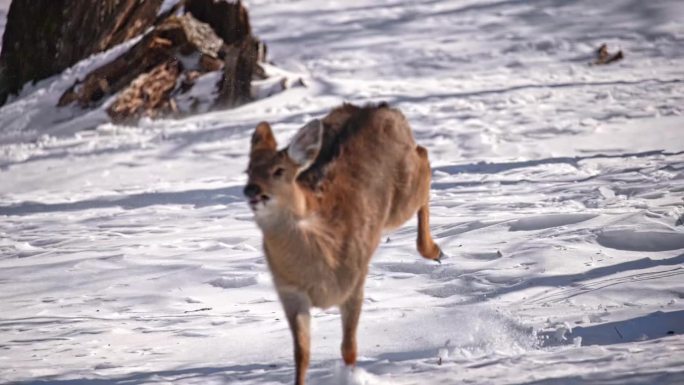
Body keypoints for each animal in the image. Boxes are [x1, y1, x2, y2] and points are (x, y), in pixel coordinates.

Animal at [243, 103, 440, 384]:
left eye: (279, 170)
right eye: (248, 171)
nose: (252, 191)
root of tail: (386, 108)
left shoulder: (354, 280)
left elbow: (349, 348)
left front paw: (351, 377)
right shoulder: (289, 292)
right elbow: (301, 353)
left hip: (401, 200)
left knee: (423, 156)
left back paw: (434, 250)